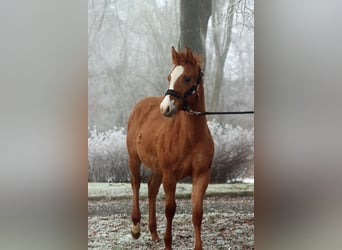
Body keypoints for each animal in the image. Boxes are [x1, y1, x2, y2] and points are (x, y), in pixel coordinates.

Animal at [127, 47, 214, 250]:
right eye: (169, 77)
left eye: (187, 78)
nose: (165, 108)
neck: (190, 138)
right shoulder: (170, 175)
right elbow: (170, 209)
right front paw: (168, 244)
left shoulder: (201, 176)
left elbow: (197, 212)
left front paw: (198, 246)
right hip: (134, 159)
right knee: (136, 184)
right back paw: (136, 227)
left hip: (158, 168)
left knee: (151, 189)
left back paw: (154, 233)